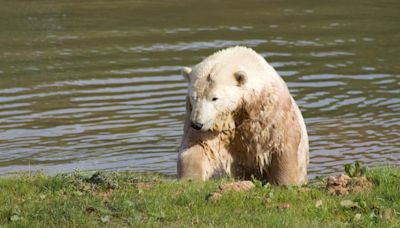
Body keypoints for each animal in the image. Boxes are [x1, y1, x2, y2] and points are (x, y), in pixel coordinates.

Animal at [177, 46, 310, 185]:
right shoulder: (209, 124)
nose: (197, 124)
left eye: (214, 98)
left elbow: (282, 145)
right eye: (194, 97)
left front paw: (285, 182)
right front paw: (190, 179)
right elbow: (198, 146)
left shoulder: (270, 113)